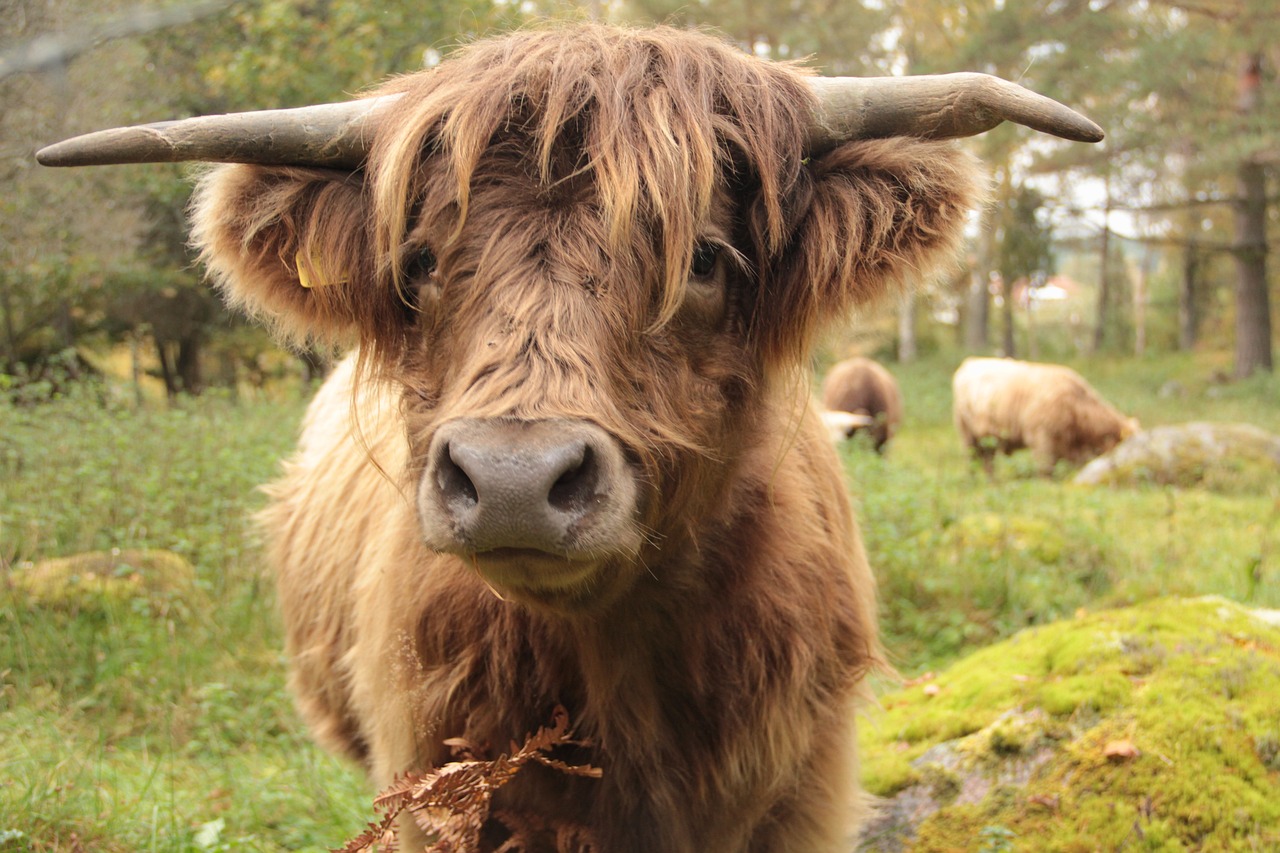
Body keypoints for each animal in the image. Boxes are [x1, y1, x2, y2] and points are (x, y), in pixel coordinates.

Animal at [952, 350, 1141, 471]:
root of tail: (970, 362)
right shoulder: (1042, 439)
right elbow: (1046, 471)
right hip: (967, 434)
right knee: (974, 461)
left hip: (986, 439)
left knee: (987, 461)